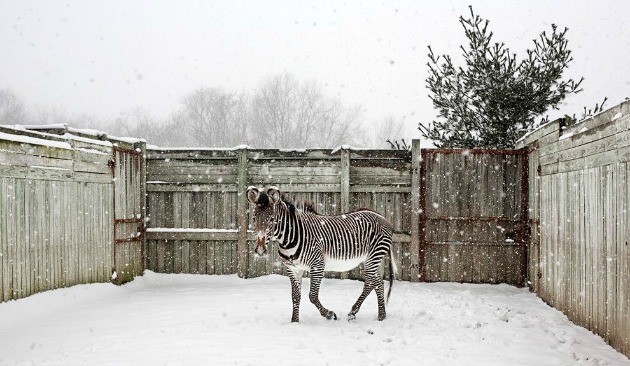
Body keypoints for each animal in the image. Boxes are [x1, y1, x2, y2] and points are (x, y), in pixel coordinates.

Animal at [246, 187, 398, 322]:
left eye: (272, 219)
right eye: (253, 219)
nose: (260, 250)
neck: (289, 239)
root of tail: (382, 217)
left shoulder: (317, 265)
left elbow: (312, 296)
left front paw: (329, 314)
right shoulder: (293, 269)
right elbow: (295, 296)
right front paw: (294, 321)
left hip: (373, 256)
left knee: (371, 282)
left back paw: (355, 312)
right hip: (369, 260)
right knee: (378, 282)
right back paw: (381, 316)